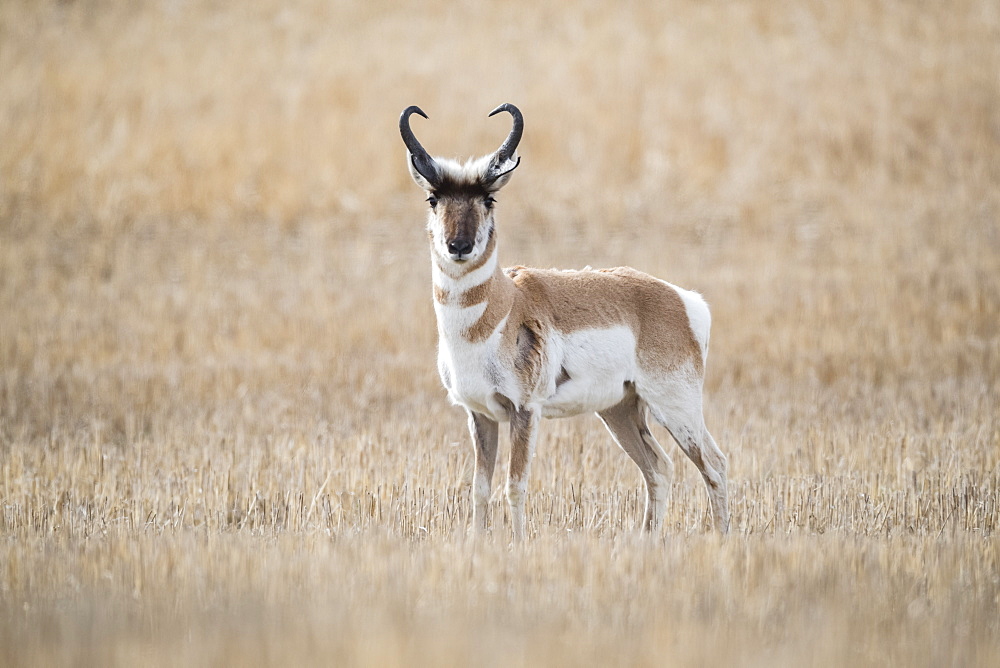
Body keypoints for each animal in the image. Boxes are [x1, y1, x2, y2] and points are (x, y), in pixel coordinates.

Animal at [402, 104, 732, 540]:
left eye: (489, 198)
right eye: (433, 197)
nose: (459, 246)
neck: (503, 307)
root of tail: (683, 300)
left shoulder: (525, 411)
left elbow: (514, 486)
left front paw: (517, 546)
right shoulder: (480, 415)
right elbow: (479, 488)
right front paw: (478, 544)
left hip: (675, 407)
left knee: (714, 464)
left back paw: (722, 539)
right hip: (621, 411)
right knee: (659, 467)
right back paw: (647, 540)